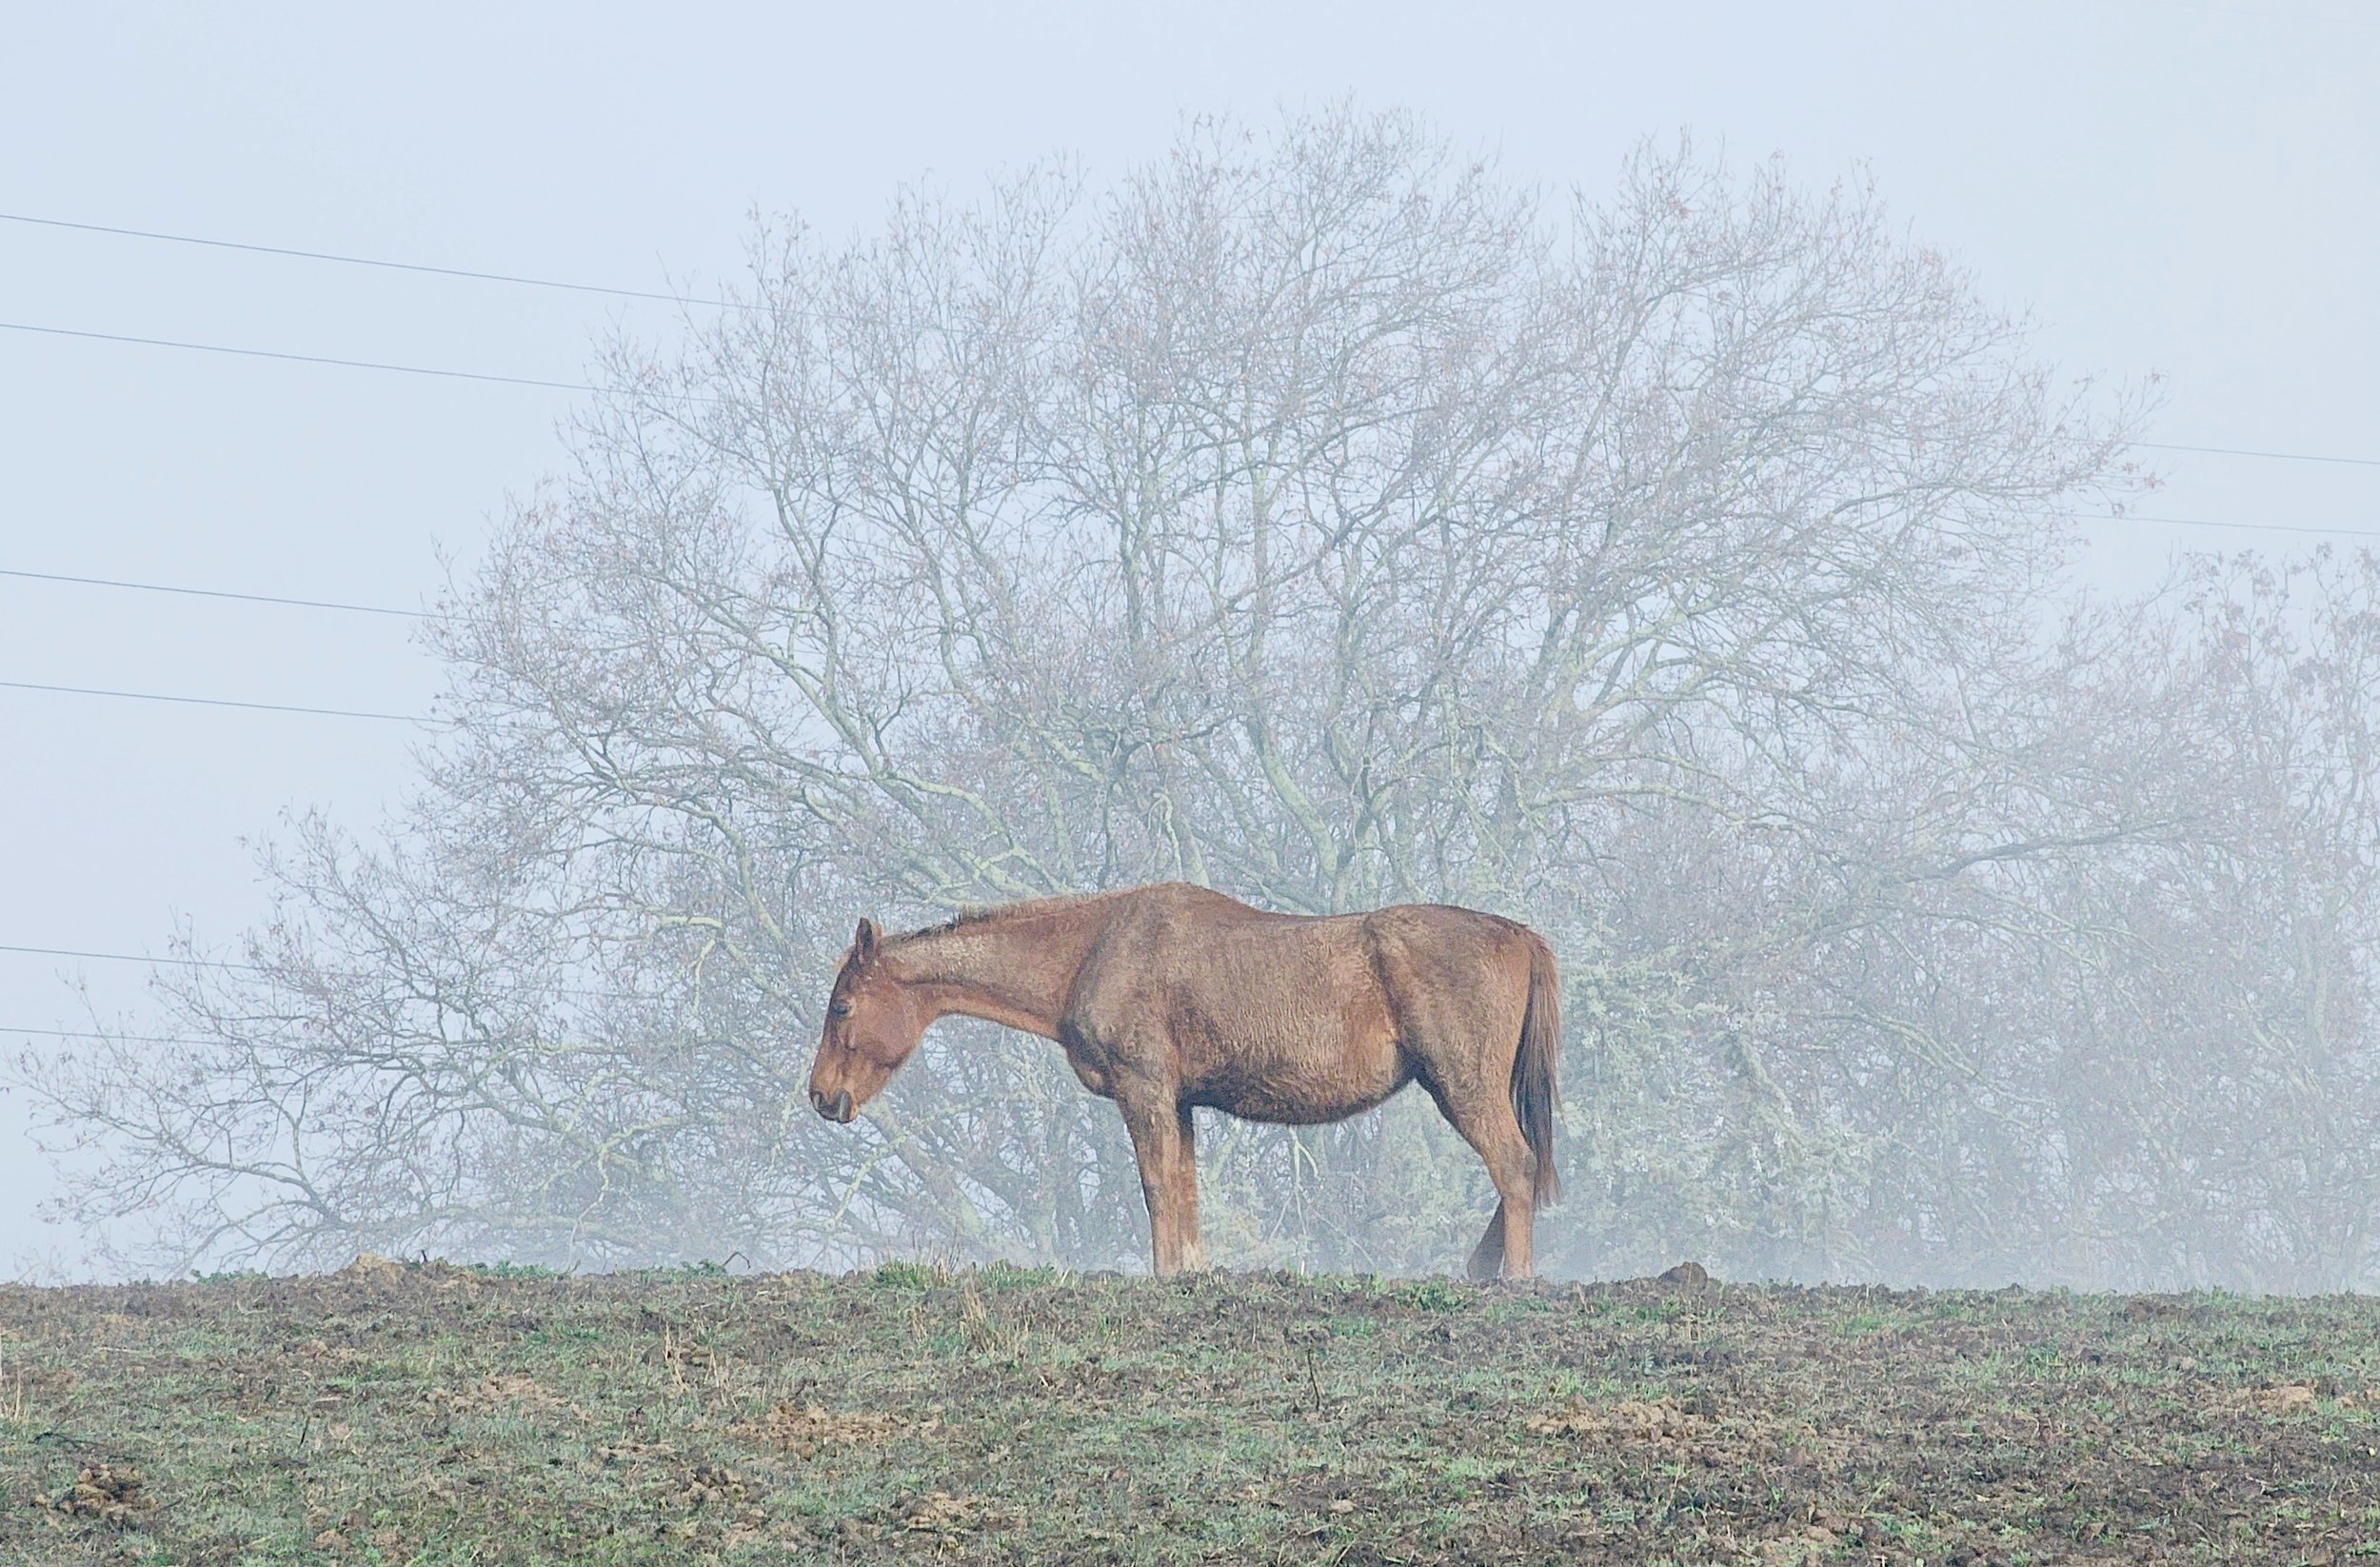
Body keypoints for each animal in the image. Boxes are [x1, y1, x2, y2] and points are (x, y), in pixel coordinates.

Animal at [805, 882, 1560, 1278]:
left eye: (841, 1007)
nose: (820, 1097)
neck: (1092, 950)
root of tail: (1519, 934)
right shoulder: (1183, 1102)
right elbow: (1187, 1188)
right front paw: (1194, 1269)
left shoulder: (1143, 1092)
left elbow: (1155, 1186)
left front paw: (1165, 1271)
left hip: (1462, 1086)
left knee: (1515, 1165)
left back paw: (1515, 1279)